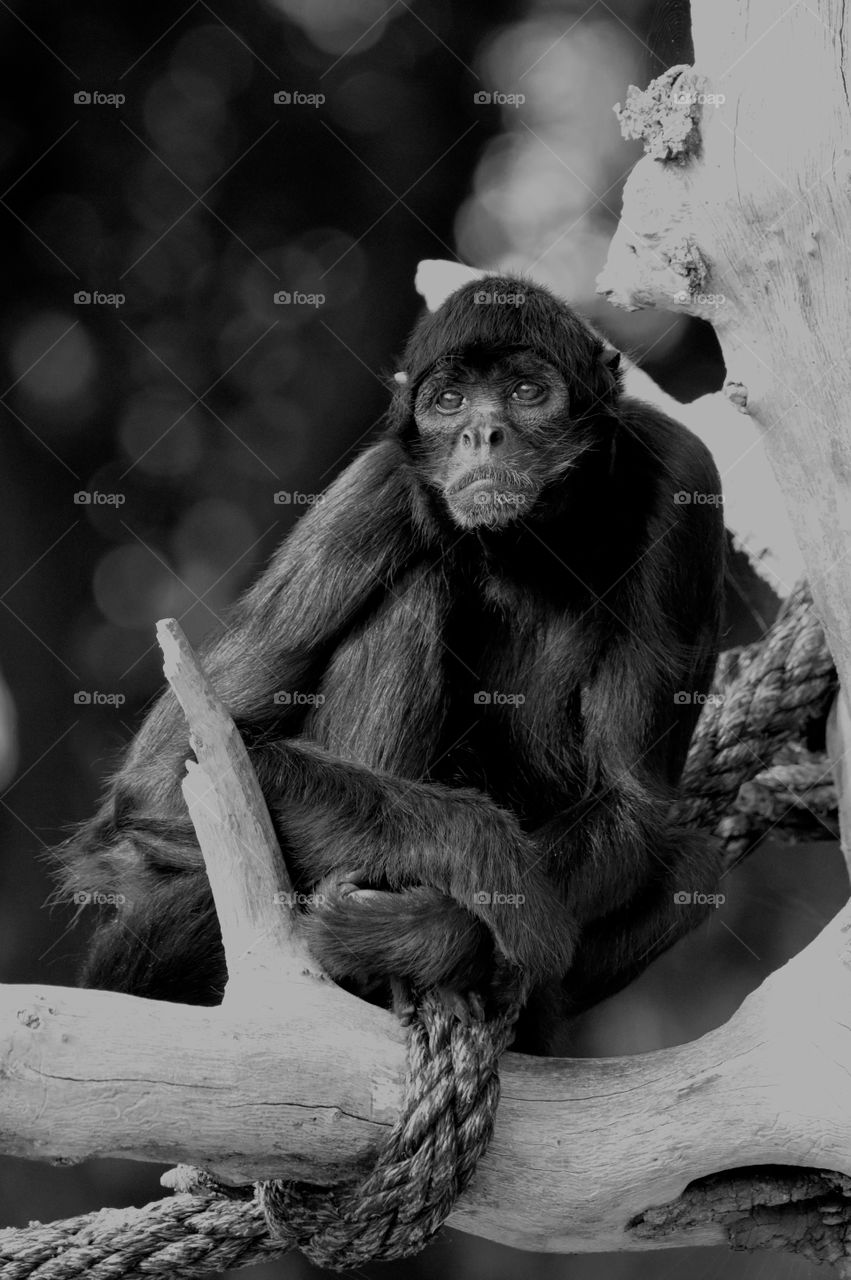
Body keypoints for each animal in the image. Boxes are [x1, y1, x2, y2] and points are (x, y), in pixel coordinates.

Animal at [61, 274, 726, 1052]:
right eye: (450, 402)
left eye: (527, 391)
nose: (481, 433)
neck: (525, 547)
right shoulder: (375, 489)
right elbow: (164, 775)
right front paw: (487, 857)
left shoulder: (683, 477)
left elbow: (634, 805)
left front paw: (424, 931)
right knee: (415, 592)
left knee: (693, 860)